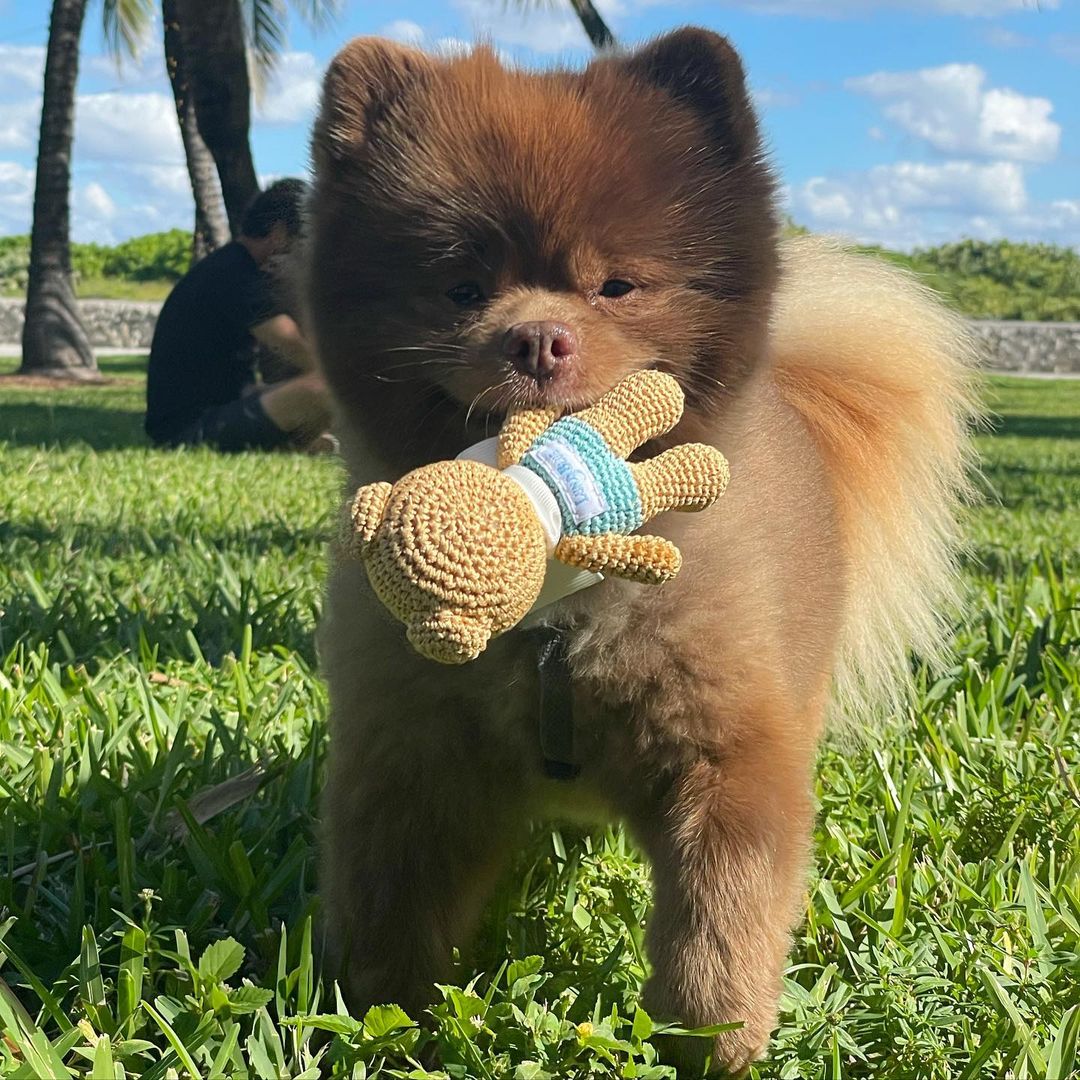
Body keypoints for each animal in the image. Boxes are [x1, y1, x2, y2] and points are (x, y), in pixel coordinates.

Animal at [304, 29, 980, 1075]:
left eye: (616, 285)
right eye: (461, 288)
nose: (537, 337)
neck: (562, 605)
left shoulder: (729, 747)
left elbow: (723, 914)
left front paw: (710, 1041)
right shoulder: (408, 748)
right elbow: (390, 910)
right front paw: (381, 1023)